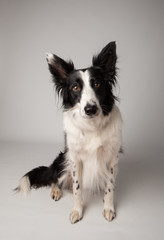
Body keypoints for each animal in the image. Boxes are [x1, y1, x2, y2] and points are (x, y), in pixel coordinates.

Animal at [15, 41, 122, 223]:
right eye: (76, 87)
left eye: (97, 84)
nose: (90, 109)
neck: (92, 126)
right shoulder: (75, 158)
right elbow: (78, 188)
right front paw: (77, 210)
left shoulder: (112, 158)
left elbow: (110, 186)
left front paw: (108, 208)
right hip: (63, 159)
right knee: (55, 179)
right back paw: (56, 190)